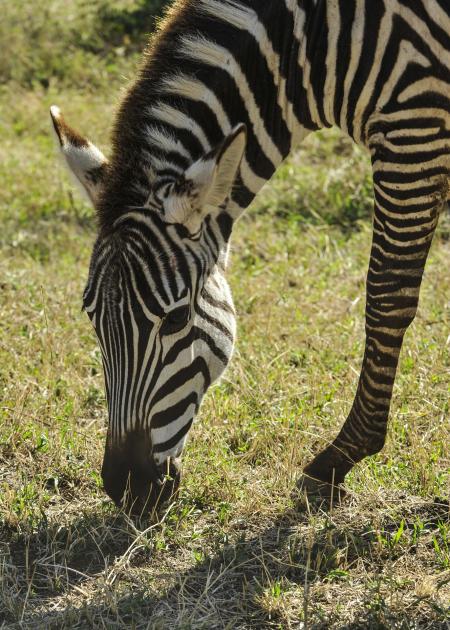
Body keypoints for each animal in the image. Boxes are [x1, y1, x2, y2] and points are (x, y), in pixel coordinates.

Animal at [50, 0, 446, 516]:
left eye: (175, 319)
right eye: (91, 317)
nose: (127, 490)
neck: (320, 43)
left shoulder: (412, 127)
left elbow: (387, 294)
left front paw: (340, 458)